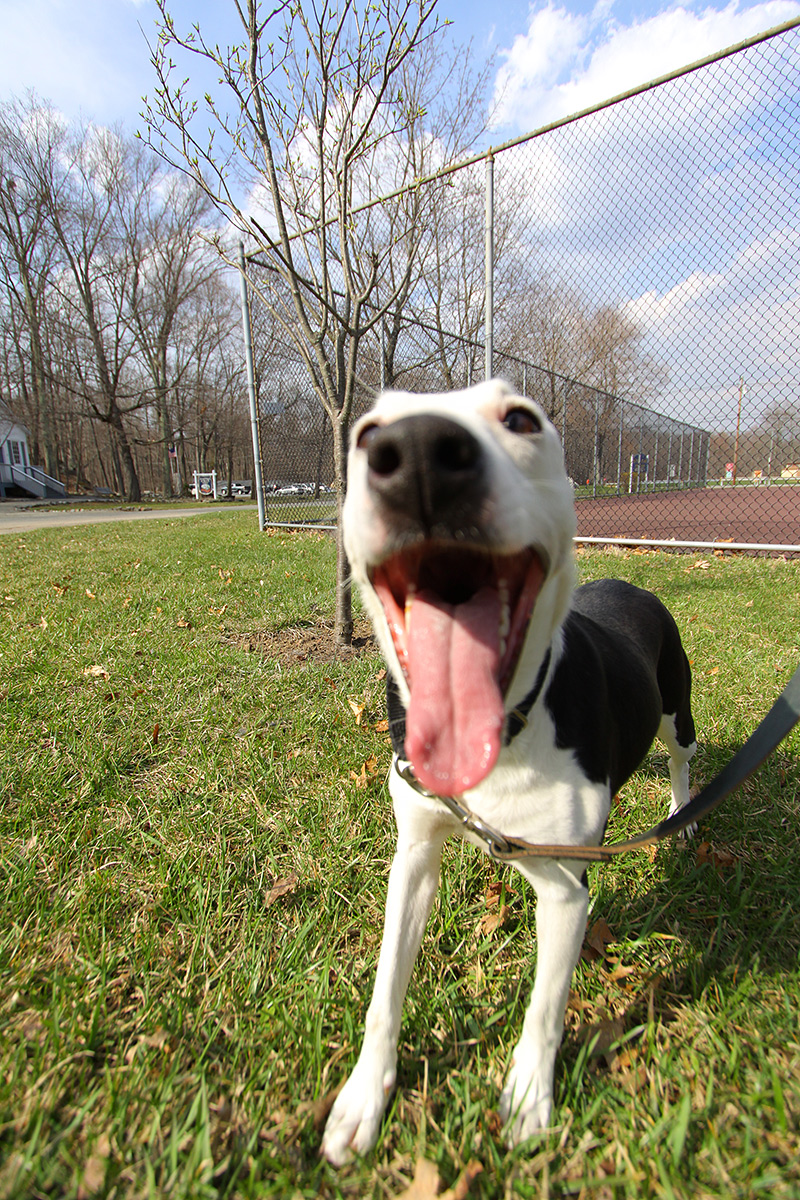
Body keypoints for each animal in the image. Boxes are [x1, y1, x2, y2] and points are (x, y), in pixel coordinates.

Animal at [319, 381, 695, 1161]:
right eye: (366, 431)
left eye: (521, 419)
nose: (419, 453)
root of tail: (635, 584)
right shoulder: (414, 855)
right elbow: (385, 992)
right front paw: (364, 1098)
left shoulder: (565, 892)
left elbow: (546, 1009)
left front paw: (528, 1096)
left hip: (678, 705)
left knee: (681, 757)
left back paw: (679, 817)